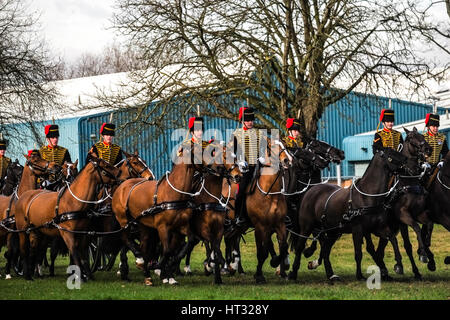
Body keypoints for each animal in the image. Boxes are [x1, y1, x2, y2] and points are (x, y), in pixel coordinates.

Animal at [14, 154, 120, 282]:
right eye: (105, 165)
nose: (120, 172)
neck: (73, 201)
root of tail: (25, 195)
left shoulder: (82, 233)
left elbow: (83, 254)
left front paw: (88, 275)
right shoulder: (66, 233)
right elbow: (74, 251)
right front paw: (80, 276)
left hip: (37, 231)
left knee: (34, 250)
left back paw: (33, 272)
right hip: (22, 231)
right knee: (24, 250)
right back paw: (27, 274)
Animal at [288, 148, 408, 282]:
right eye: (391, 156)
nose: (407, 160)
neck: (367, 196)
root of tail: (310, 191)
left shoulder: (378, 228)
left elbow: (392, 238)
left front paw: (398, 265)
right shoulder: (358, 229)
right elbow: (358, 253)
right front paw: (359, 275)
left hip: (333, 232)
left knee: (325, 250)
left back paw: (331, 275)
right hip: (306, 227)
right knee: (300, 247)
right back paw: (293, 273)